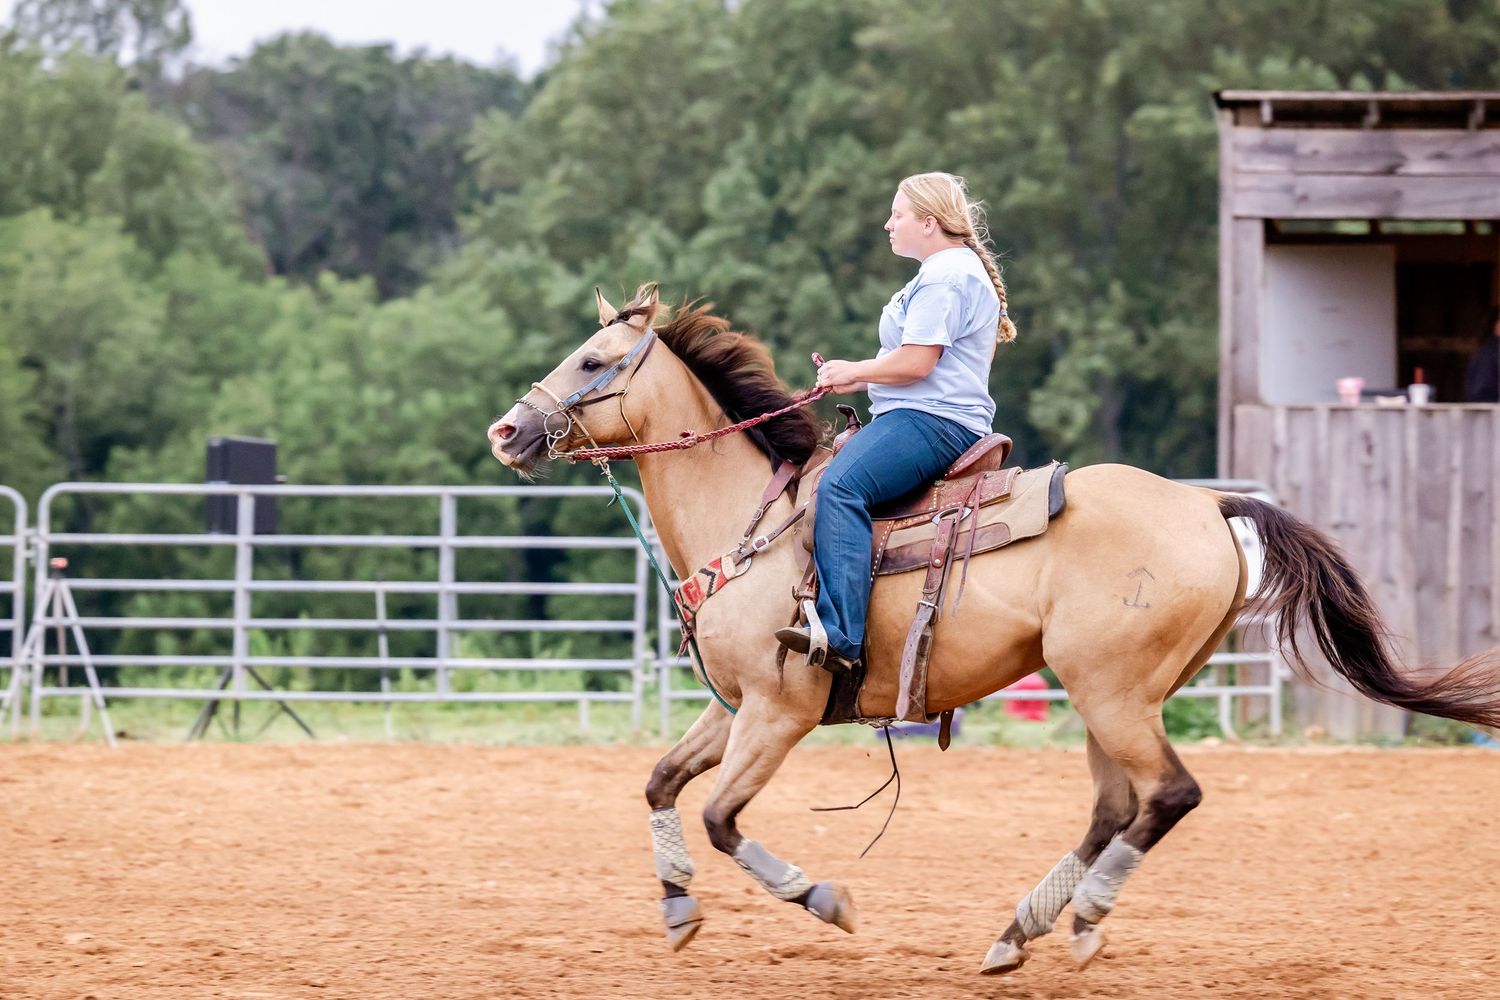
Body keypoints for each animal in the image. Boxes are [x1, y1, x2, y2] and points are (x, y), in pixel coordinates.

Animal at [486, 283, 1500, 975]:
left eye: (592, 361)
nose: (506, 432)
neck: (753, 521)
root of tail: (1209, 507)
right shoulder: (734, 705)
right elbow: (661, 784)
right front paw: (675, 908)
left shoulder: (779, 713)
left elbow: (722, 817)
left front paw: (825, 900)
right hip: (1115, 697)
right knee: (1118, 808)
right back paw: (1023, 930)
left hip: (1112, 693)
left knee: (1168, 795)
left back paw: (1078, 920)